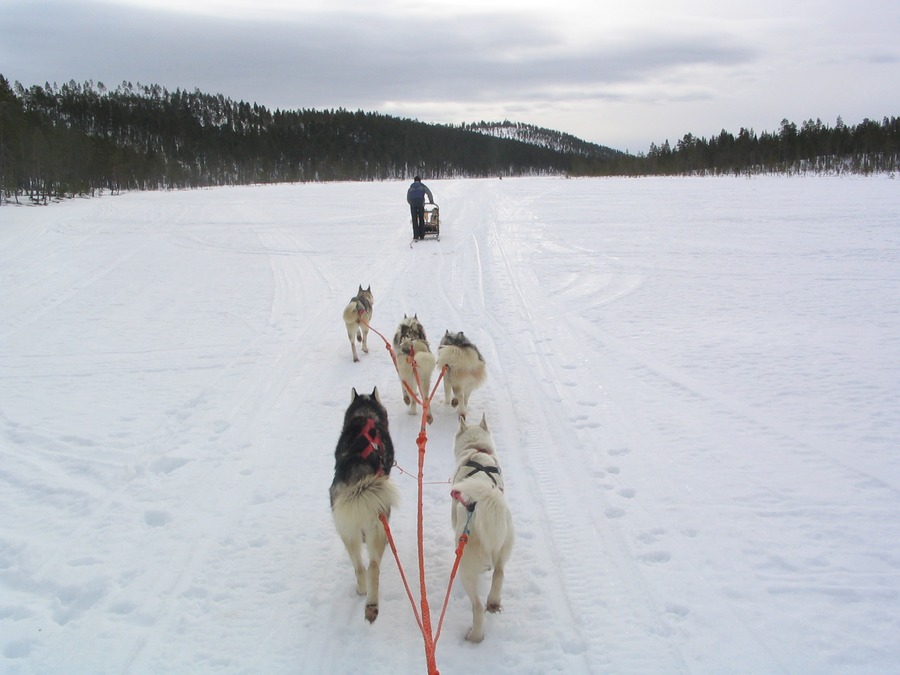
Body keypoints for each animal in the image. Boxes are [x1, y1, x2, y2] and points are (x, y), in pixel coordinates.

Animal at [328, 386, 400, 624]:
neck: (366, 416)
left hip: (346, 530)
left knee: (359, 566)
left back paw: (362, 591)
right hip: (379, 528)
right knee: (373, 567)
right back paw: (372, 605)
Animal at [450, 414, 512, 640]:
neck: (477, 450)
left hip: (465, 569)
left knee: (476, 606)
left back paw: (474, 636)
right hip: (504, 545)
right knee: (499, 574)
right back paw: (493, 601)